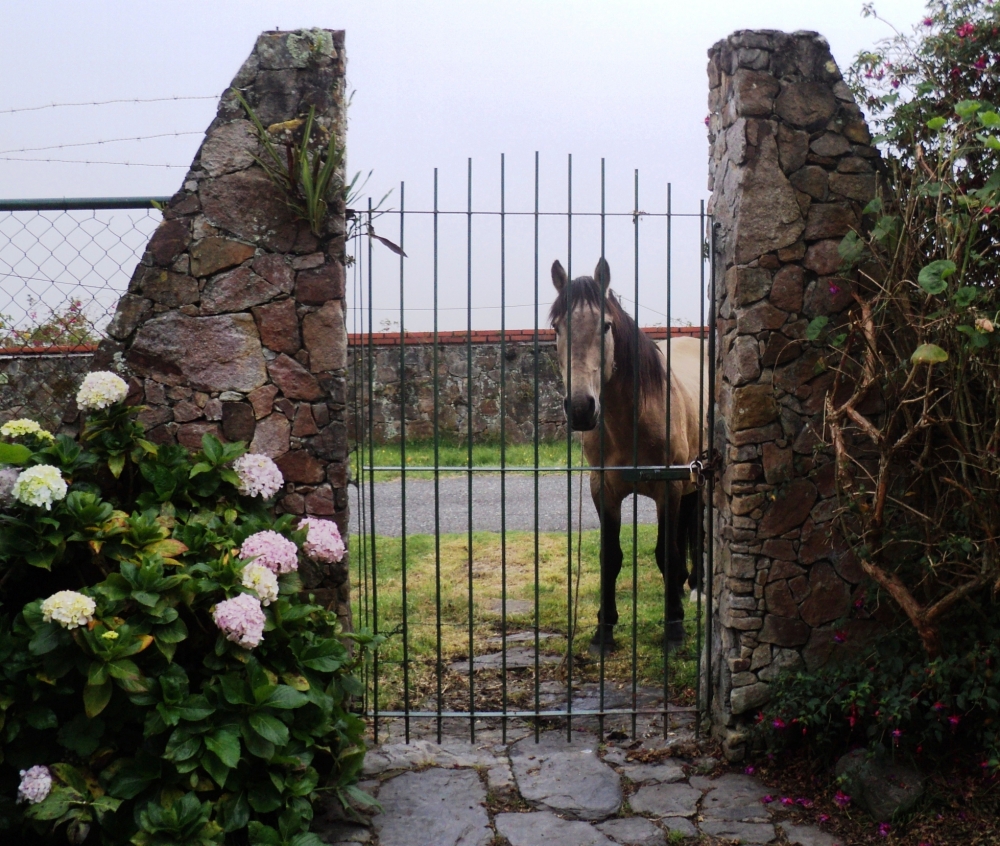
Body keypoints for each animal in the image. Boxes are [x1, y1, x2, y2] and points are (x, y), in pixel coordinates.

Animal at [552, 258, 708, 656]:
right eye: (556, 327)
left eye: (605, 325)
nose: (581, 408)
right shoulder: (603, 490)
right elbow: (611, 557)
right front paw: (603, 631)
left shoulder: (669, 487)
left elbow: (666, 553)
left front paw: (674, 629)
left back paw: (697, 587)